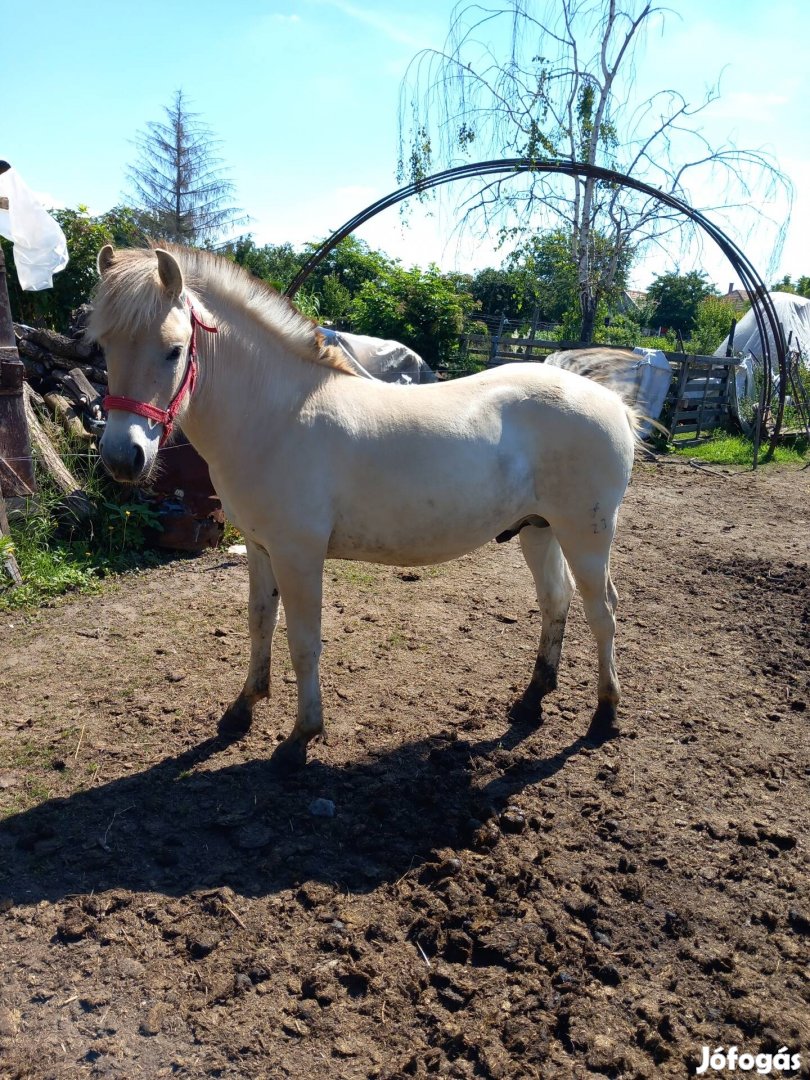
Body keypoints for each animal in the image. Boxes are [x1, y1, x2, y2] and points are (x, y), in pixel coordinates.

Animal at [91, 245, 643, 768]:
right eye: (104, 344)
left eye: (173, 350)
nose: (122, 457)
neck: (276, 417)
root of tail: (611, 403)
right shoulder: (260, 548)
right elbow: (259, 624)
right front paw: (242, 709)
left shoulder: (298, 555)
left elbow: (304, 642)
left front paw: (300, 739)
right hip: (538, 529)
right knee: (556, 601)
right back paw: (531, 701)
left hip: (585, 536)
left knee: (602, 612)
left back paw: (605, 714)